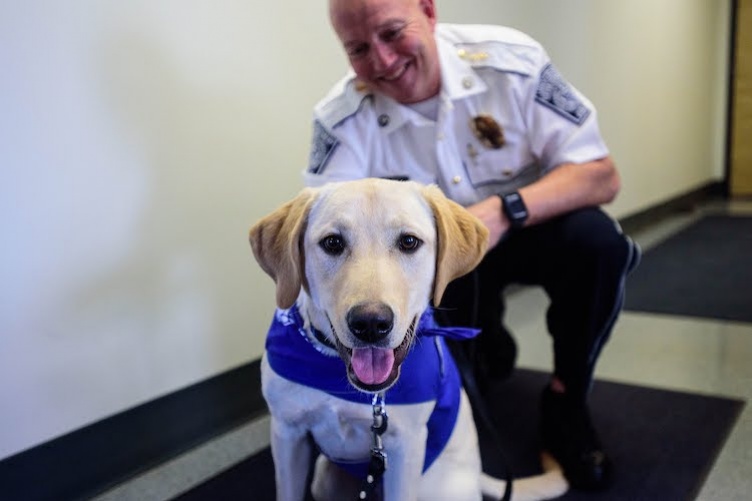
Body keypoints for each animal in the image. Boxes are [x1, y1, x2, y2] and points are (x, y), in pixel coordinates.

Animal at [250, 180, 568, 500]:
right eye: (332, 243)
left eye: (409, 242)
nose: (371, 323)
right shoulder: (287, 434)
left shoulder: (407, 446)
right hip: (324, 479)